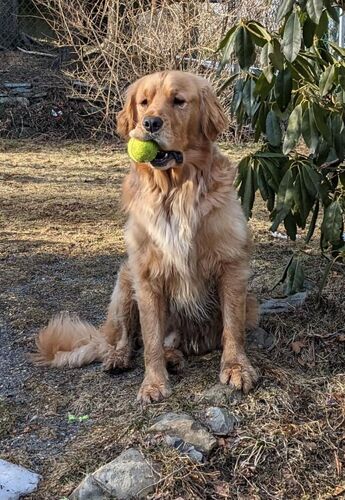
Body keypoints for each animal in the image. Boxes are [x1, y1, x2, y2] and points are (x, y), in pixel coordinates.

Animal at [33, 70, 258, 402]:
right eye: (144, 102)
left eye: (179, 100)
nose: (150, 123)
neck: (175, 190)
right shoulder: (147, 275)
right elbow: (150, 339)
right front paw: (153, 383)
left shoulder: (231, 264)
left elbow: (233, 326)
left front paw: (236, 368)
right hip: (126, 280)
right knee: (128, 339)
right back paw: (122, 358)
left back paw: (173, 357)